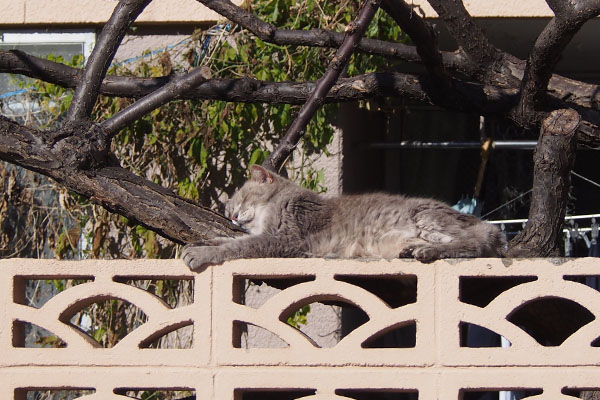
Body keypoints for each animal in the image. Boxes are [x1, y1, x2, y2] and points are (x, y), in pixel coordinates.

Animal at [183, 164, 506, 270]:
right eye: (228, 211)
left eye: (242, 200)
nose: (234, 216)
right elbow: (228, 239)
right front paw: (205, 240)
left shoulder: (285, 238)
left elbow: (238, 246)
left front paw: (201, 253)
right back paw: (411, 249)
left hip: (427, 217)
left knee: (472, 245)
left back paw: (426, 251)